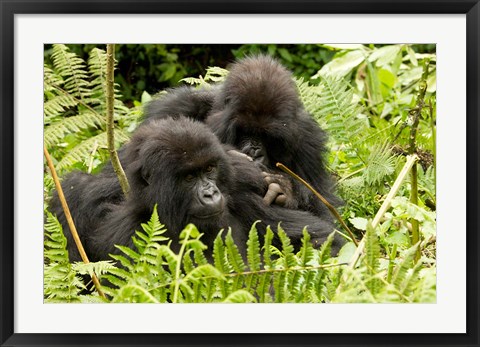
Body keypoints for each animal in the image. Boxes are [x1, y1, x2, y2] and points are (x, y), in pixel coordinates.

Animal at [49, 117, 342, 264]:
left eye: (209, 169)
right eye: (189, 177)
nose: (211, 194)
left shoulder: (242, 196)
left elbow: (325, 238)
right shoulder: (124, 237)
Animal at [145, 55, 342, 219]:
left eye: (266, 136)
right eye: (245, 131)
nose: (254, 150)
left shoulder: (308, 139)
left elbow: (327, 211)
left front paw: (286, 189)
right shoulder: (175, 108)